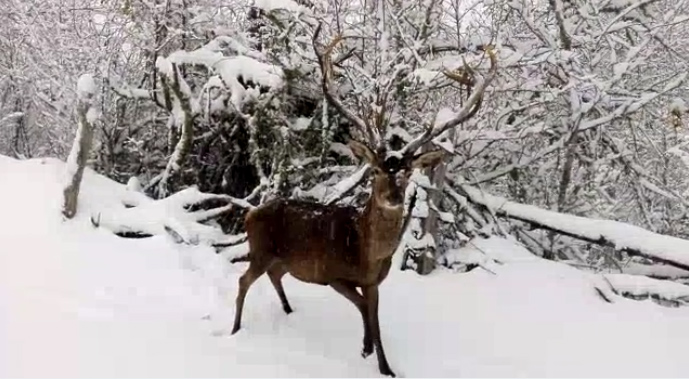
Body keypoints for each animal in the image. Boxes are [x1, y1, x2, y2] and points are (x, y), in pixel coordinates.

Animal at [230, 23, 494, 378]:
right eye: (377, 170)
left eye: (408, 171)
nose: (394, 197)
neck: (366, 254)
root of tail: (250, 214)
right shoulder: (333, 275)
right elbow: (365, 309)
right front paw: (379, 361)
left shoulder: (376, 282)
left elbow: (371, 313)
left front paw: (372, 353)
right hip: (260, 249)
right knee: (243, 280)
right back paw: (235, 328)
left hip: (280, 257)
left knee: (275, 275)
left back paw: (288, 309)